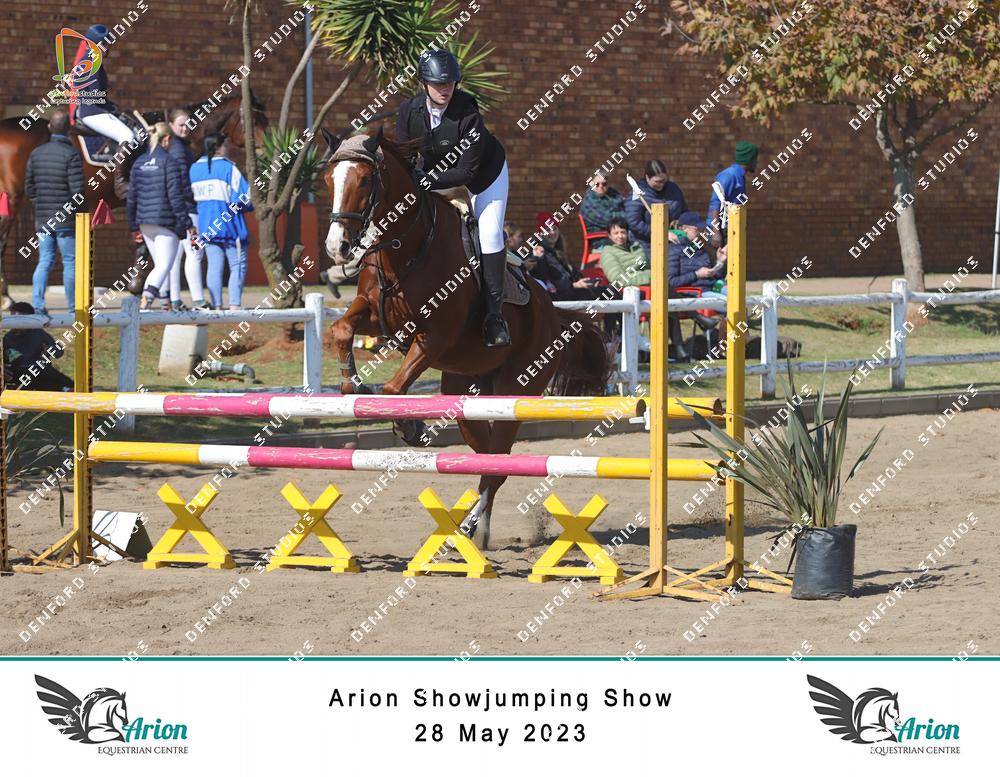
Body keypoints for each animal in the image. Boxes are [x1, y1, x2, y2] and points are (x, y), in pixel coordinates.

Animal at [0, 92, 268, 307]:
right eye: (254, 120)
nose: (264, 151)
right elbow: (148, 248)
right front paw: (139, 286)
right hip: (12, 198)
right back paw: (6, 297)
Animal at [321, 127, 609, 549]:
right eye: (329, 180)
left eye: (364, 180)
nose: (337, 247)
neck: (405, 248)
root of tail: (553, 312)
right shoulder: (376, 315)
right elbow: (341, 329)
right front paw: (349, 385)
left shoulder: (434, 336)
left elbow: (393, 390)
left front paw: (409, 426)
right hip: (466, 392)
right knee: (487, 456)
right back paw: (475, 528)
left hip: (514, 389)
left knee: (498, 463)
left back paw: (475, 528)